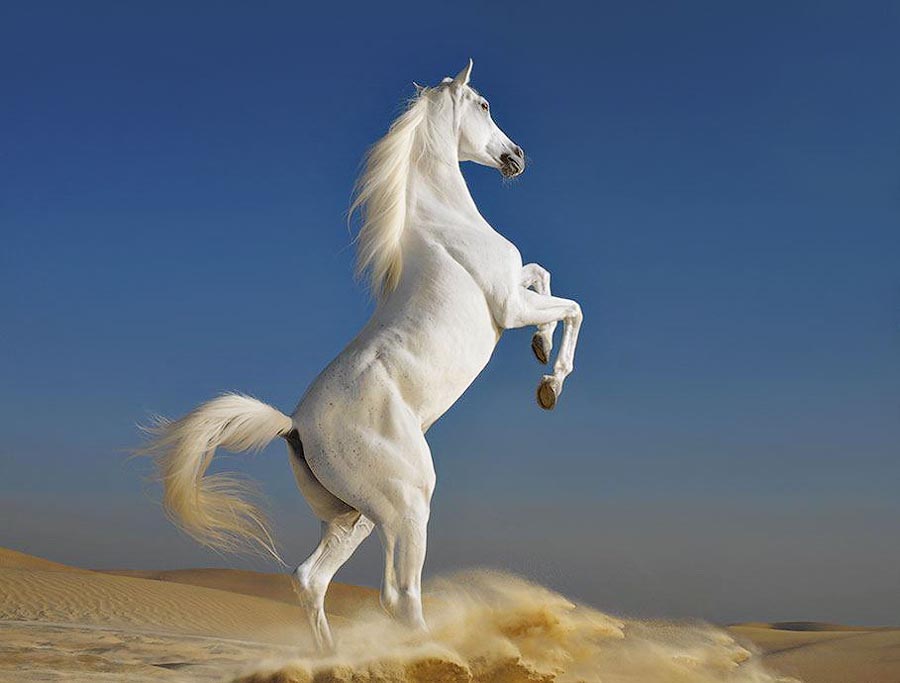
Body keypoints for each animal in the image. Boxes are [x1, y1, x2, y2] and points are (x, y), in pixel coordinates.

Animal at [142, 60, 583, 651]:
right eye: (484, 105)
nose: (516, 156)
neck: (446, 225)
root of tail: (294, 426)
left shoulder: (517, 292)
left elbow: (542, 275)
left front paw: (539, 349)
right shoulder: (509, 306)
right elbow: (571, 305)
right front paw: (549, 384)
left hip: (357, 517)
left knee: (311, 579)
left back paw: (333, 657)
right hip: (408, 503)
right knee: (398, 595)